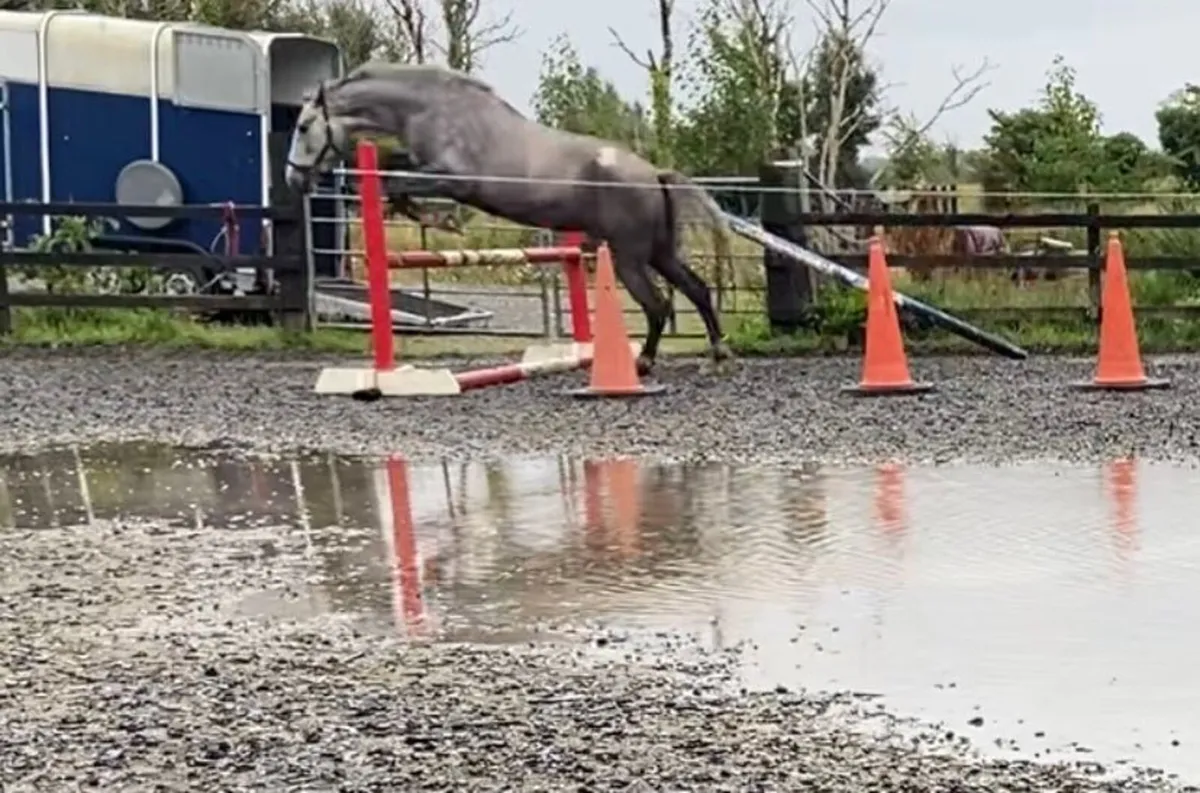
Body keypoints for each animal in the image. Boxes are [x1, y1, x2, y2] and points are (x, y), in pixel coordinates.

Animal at [284, 60, 734, 374]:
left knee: (658, 306)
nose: (293, 178)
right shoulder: (429, 169)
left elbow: (397, 182)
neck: (433, 109)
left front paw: (437, 220)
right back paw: (717, 355)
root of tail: (654, 174)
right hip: (660, 253)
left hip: (630, 258)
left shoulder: (454, 180)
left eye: (304, 126)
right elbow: (395, 171)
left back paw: (644, 363)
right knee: (697, 290)